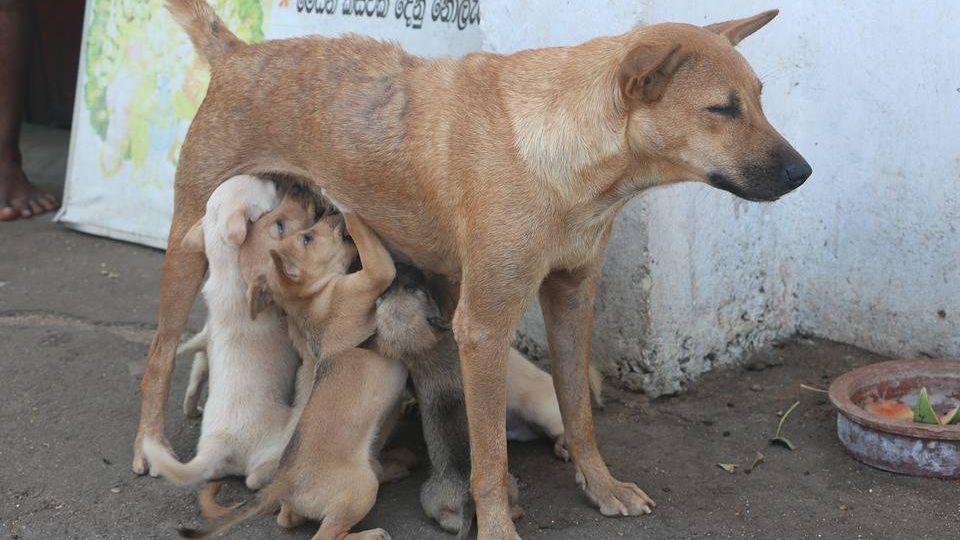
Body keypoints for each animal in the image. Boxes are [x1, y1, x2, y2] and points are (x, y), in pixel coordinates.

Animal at [142, 176, 310, 490]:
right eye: (269, 189)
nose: (288, 181)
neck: (225, 267)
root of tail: (216, 447)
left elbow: (198, 364)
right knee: (256, 477)